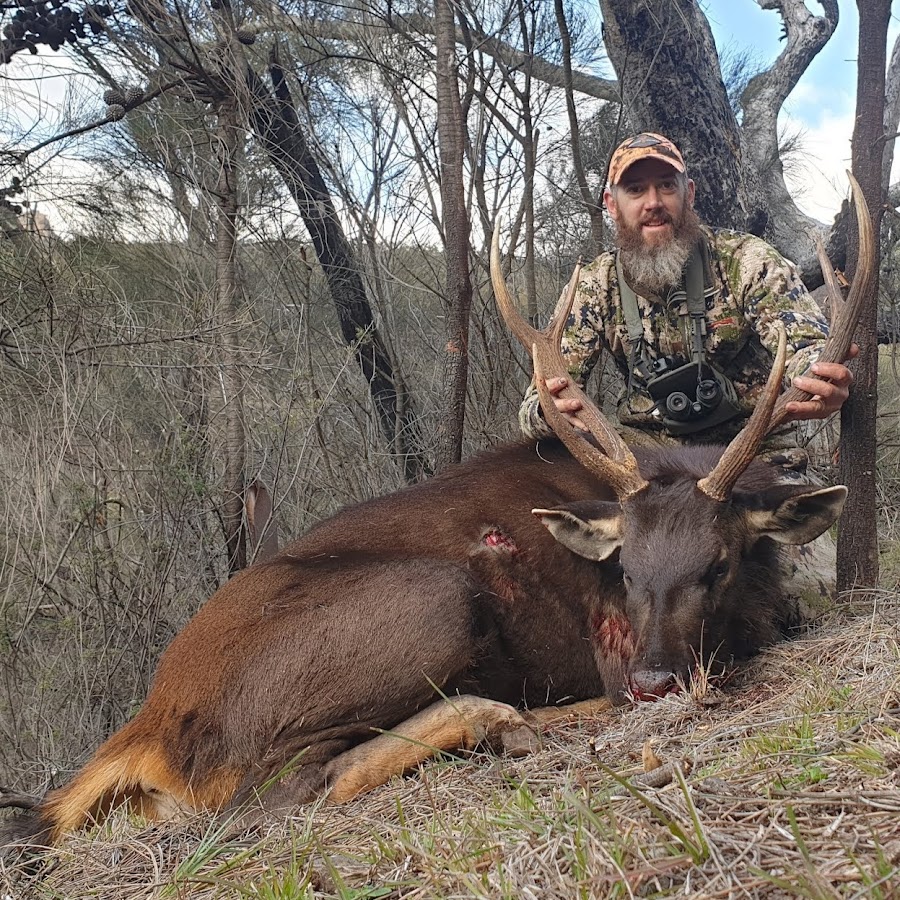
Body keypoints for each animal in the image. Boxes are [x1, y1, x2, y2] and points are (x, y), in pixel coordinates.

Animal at [0, 174, 872, 852]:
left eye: (717, 563)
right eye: (624, 571)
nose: (654, 681)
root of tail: (148, 727)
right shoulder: (608, 644)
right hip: (431, 600)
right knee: (276, 795)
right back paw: (506, 717)